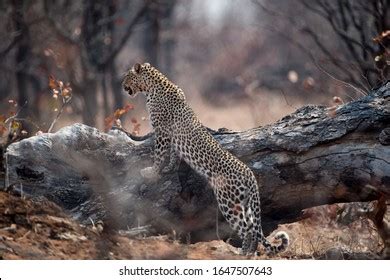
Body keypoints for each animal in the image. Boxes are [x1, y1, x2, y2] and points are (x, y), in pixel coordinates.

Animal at [122, 62, 290, 255]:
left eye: (127, 76)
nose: (122, 85)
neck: (152, 86)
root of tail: (250, 175)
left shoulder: (162, 131)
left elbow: (159, 154)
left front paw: (152, 171)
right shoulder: (171, 135)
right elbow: (173, 154)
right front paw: (169, 168)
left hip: (228, 201)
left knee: (247, 229)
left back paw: (242, 253)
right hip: (245, 204)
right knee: (252, 228)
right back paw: (250, 253)